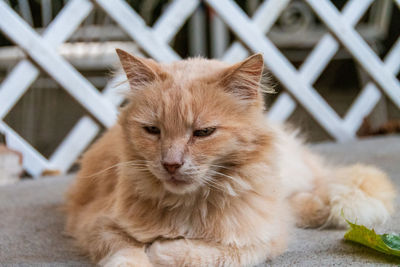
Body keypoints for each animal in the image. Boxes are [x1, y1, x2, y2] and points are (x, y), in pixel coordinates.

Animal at [65, 49, 394, 266]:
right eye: (152, 130)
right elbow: (126, 252)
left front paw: (161, 250)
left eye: (203, 132)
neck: (188, 207)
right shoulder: (95, 223)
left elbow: (202, 253)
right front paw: (145, 254)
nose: (171, 164)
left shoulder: (259, 241)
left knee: (309, 194)